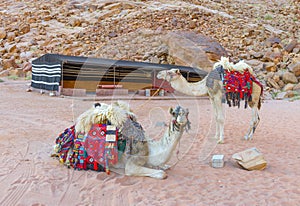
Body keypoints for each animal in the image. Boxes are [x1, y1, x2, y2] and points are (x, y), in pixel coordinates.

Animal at [54, 101, 190, 179]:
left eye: (186, 113)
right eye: (175, 113)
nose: (182, 120)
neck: (151, 150)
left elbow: (165, 167)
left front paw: (164, 165)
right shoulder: (132, 164)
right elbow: (162, 174)